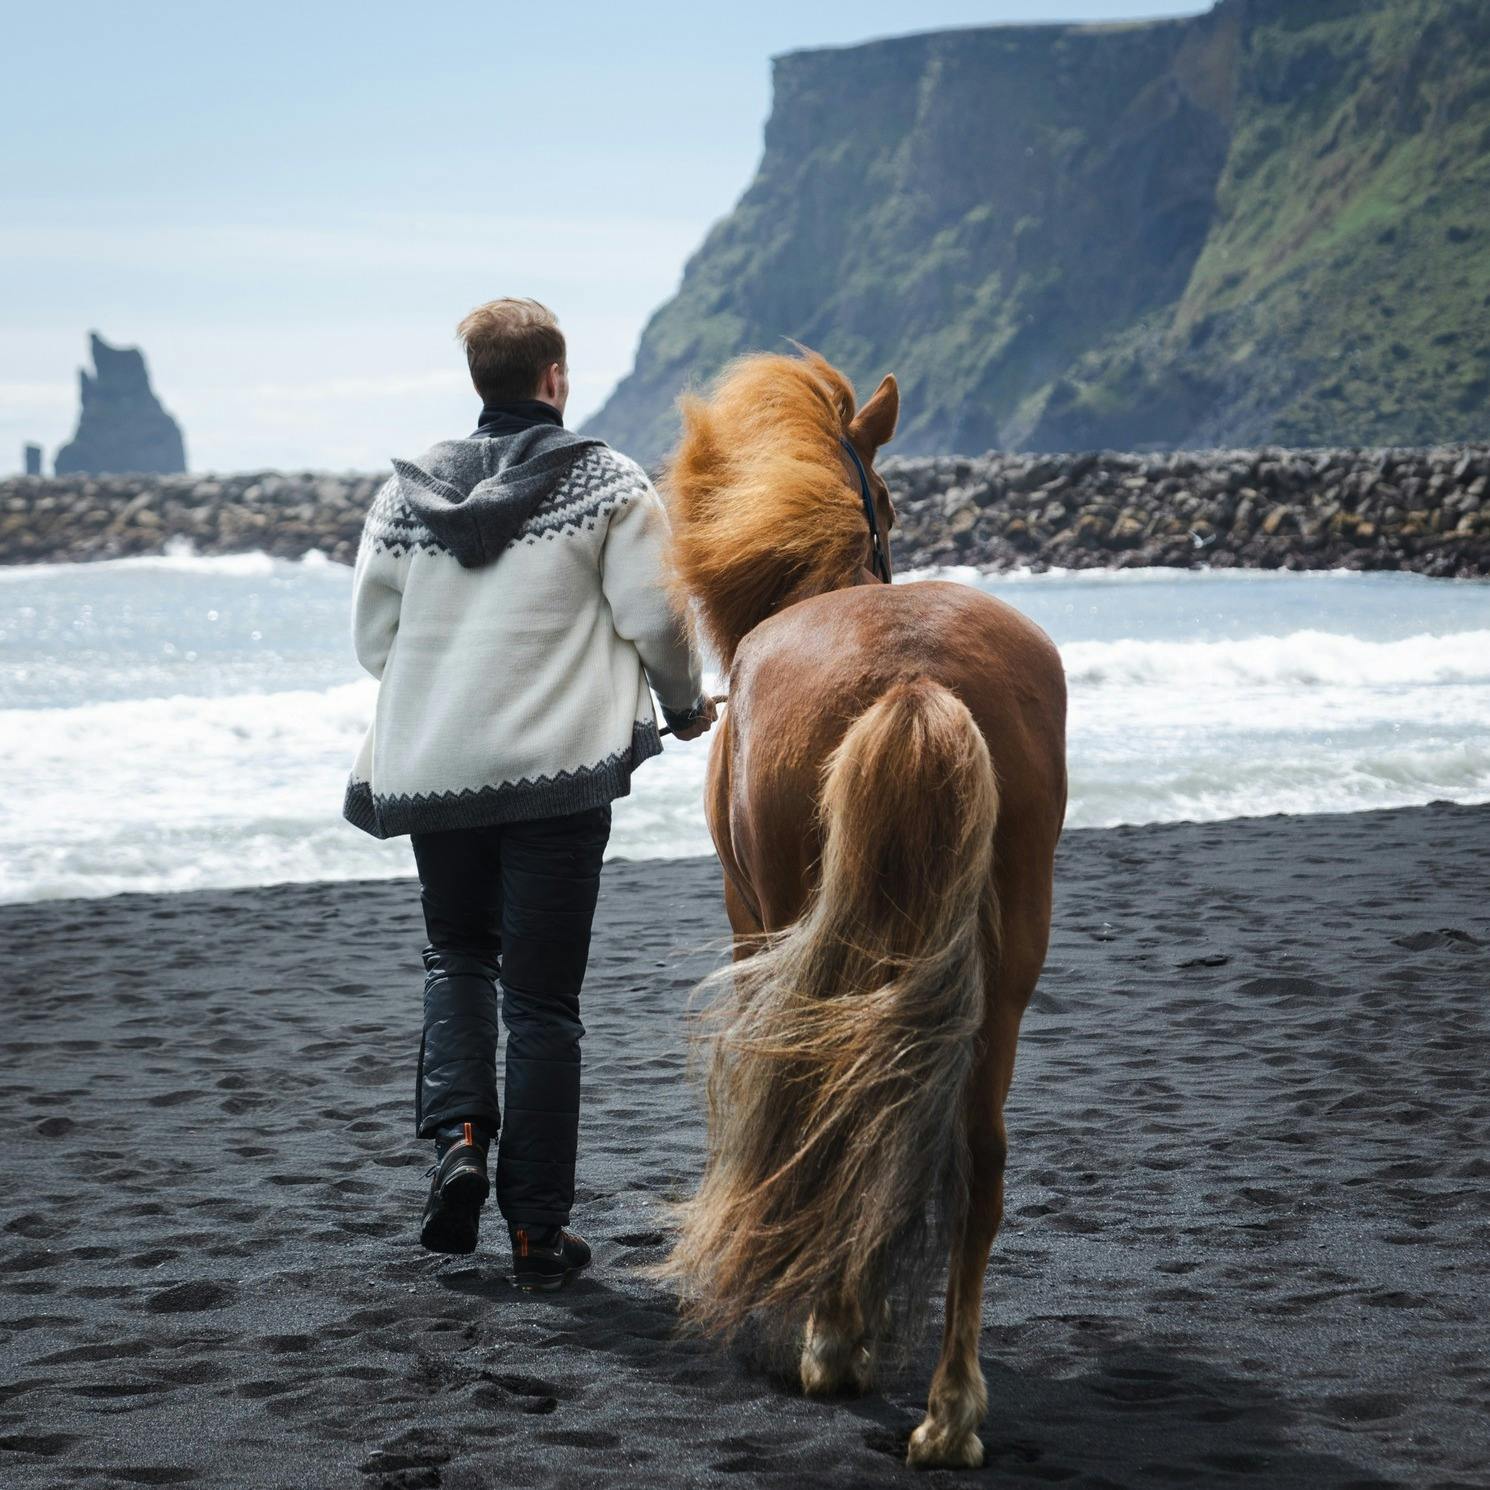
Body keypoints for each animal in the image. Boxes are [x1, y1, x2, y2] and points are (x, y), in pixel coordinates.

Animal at [657, 347, 1067, 1469]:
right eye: (887, 499)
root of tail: (916, 677)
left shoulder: (748, 919)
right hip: (1005, 974)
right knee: (975, 1154)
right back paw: (951, 1409)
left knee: (832, 1100)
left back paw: (831, 1344)